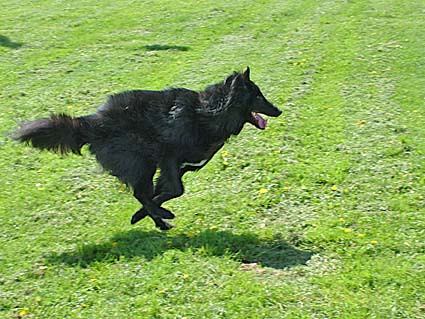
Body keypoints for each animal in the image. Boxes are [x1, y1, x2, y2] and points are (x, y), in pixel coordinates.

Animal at [13, 69, 282, 231]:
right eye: (257, 96)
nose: (278, 110)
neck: (207, 112)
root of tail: (93, 123)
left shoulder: (177, 169)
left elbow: (163, 192)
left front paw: (143, 214)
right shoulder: (168, 159)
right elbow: (172, 191)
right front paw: (153, 212)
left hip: (144, 166)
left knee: (141, 193)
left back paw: (159, 222)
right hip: (141, 163)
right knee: (139, 192)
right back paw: (163, 217)